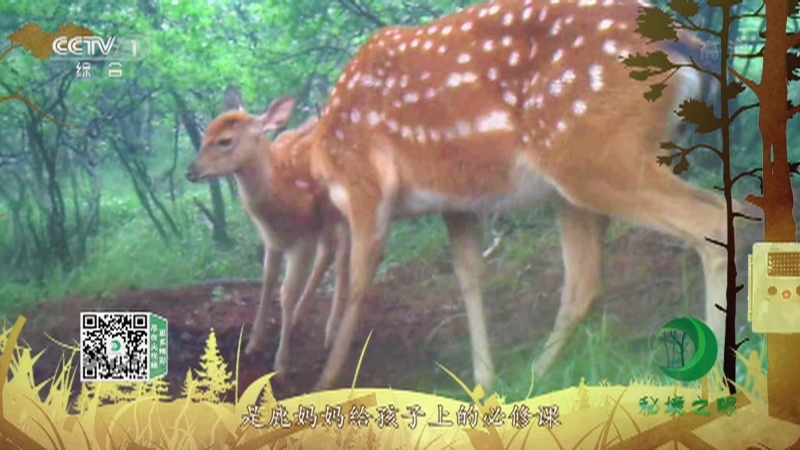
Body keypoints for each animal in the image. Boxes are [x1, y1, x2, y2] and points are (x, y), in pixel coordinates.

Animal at [185, 86, 350, 381]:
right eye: (204, 136)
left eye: (225, 141)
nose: (190, 171)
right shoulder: (273, 240)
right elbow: (268, 282)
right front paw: (252, 344)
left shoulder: (303, 239)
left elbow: (287, 292)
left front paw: (281, 364)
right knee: (329, 253)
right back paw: (301, 316)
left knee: (344, 261)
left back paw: (331, 331)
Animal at [306, 0, 731, 393]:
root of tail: (687, 44)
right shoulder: (455, 199)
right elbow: (469, 275)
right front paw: (482, 381)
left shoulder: (364, 182)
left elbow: (357, 287)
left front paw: (325, 383)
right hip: (579, 183)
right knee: (583, 285)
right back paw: (534, 377)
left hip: (596, 155)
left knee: (711, 222)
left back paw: (714, 382)